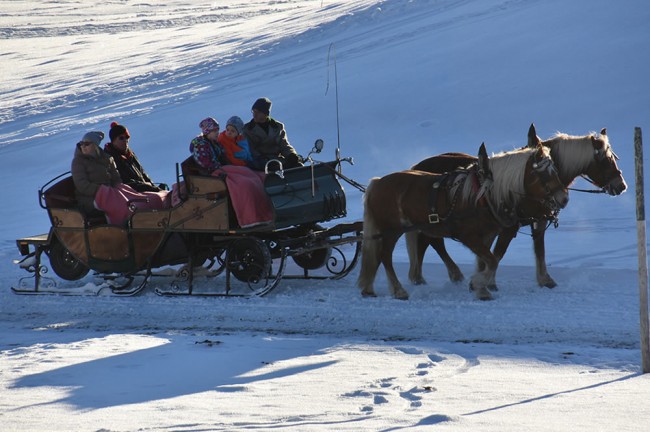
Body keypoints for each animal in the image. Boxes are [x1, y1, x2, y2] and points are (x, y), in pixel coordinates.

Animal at [356, 142, 564, 300]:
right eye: (545, 174)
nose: (564, 198)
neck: (485, 195)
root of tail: (377, 183)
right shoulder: (468, 236)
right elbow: (492, 260)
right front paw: (480, 285)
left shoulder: (487, 235)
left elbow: (487, 261)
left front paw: (479, 286)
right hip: (392, 229)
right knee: (385, 256)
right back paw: (398, 290)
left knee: (381, 255)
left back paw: (369, 288)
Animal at [408, 123, 624, 288]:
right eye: (606, 159)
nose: (621, 185)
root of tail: (417, 167)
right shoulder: (508, 226)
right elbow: (498, 253)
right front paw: (487, 281)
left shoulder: (537, 221)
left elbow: (539, 249)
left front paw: (544, 280)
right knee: (431, 241)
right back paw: (442, 275)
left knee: (431, 241)